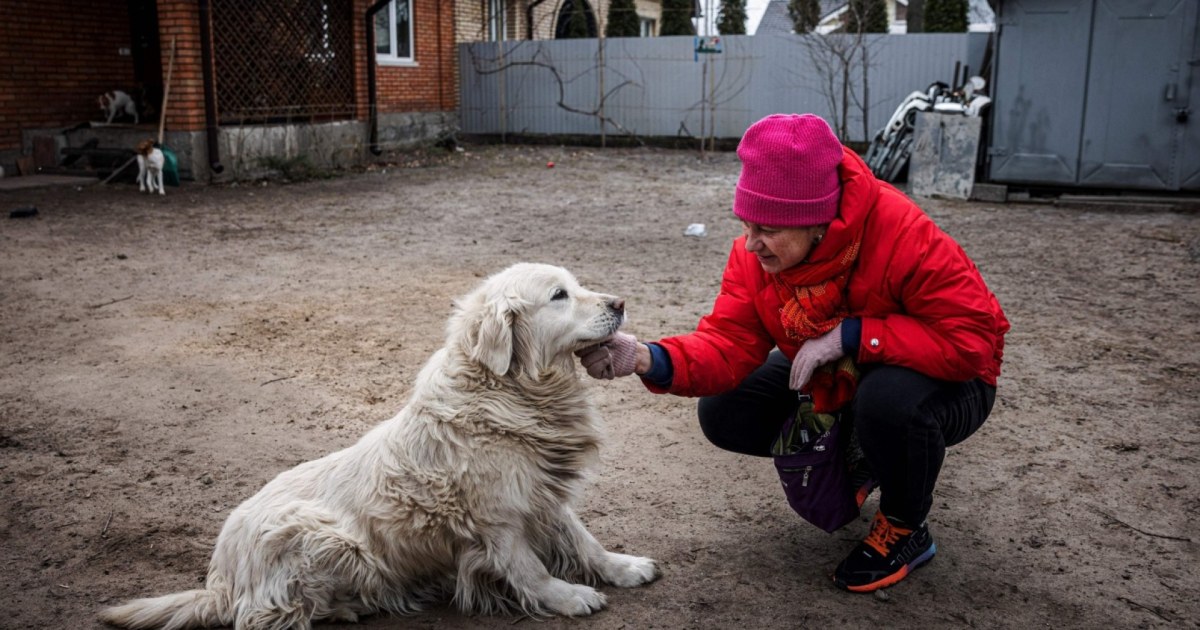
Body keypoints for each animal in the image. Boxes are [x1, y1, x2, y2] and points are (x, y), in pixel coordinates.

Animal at [99, 261, 662, 628]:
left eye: (578, 285)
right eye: (559, 295)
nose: (620, 304)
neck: (512, 392)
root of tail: (221, 581)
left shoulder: (543, 494)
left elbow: (584, 539)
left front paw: (624, 567)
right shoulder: (498, 517)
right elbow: (530, 568)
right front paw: (568, 597)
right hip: (315, 532)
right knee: (264, 616)